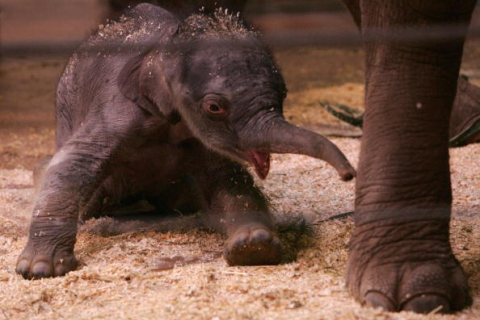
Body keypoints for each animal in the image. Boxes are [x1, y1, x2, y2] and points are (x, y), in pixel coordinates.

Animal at [15, 2, 354, 278]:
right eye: (214, 107)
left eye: (284, 94)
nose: (349, 174)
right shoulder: (120, 111)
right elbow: (73, 165)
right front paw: (40, 269)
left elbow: (229, 179)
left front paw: (254, 247)